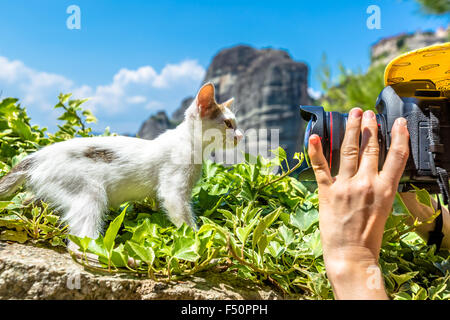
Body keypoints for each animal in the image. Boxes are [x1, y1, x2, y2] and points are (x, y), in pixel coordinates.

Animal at [0, 82, 243, 245]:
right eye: (228, 124)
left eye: (235, 124)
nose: (240, 136)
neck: (190, 144)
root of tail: (37, 157)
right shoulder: (174, 190)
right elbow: (182, 217)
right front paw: (200, 237)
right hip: (88, 193)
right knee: (80, 240)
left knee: (29, 201)